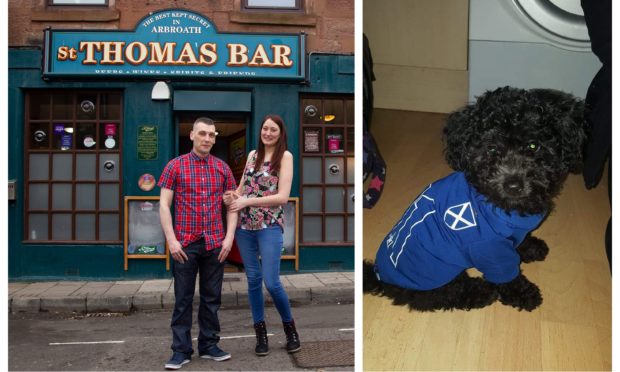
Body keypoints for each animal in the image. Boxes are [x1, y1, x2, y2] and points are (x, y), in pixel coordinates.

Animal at [366, 87, 588, 310]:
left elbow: (520, 240)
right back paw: (482, 291)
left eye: (533, 146)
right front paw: (523, 293)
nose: (513, 185)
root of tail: (381, 278)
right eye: (491, 149)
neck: (497, 204)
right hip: (435, 273)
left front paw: (531, 248)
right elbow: (507, 275)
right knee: (446, 293)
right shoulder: (490, 249)